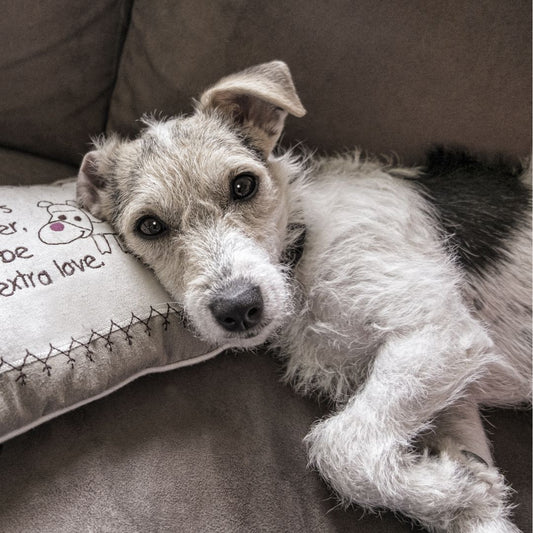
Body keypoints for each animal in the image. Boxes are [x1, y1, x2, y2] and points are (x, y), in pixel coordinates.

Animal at [77, 61, 528, 528]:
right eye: (149, 226)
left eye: (243, 185)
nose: (238, 307)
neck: (301, 250)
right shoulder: (457, 400)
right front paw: (463, 492)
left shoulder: (440, 331)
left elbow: (339, 446)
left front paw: (460, 491)